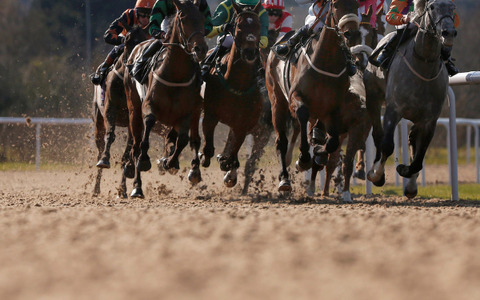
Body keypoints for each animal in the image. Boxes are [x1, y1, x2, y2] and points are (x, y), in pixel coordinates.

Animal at [92, 25, 148, 198]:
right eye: (128, 40)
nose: (133, 65)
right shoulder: (110, 108)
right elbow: (110, 135)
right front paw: (105, 160)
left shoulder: (133, 117)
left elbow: (128, 152)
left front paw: (124, 186)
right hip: (98, 120)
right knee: (99, 147)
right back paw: (96, 188)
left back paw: (122, 188)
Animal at [126, 0, 209, 199]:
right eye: (183, 18)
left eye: (202, 18)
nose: (200, 49)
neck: (175, 75)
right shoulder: (149, 107)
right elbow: (146, 135)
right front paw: (145, 160)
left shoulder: (186, 113)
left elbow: (183, 140)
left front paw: (169, 163)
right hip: (133, 109)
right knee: (135, 146)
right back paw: (137, 187)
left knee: (186, 139)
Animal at [201, 0, 264, 188]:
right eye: (239, 26)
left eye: (258, 26)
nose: (250, 52)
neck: (238, 83)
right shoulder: (210, 115)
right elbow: (207, 149)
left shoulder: (243, 123)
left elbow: (233, 152)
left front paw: (228, 168)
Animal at [266, 0, 360, 192]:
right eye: (336, 5)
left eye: (356, 4)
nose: (351, 34)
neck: (326, 61)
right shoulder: (295, 98)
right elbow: (302, 115)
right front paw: (303, 159)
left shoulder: (333, 108)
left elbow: (331, 143)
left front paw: (318, 153)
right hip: (277, 101)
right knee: (282, 140)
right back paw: (284, 179)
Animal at [364, 0, 458, 198]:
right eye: (432, 7)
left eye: (452, 7)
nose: (448, 33)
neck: (424, 64)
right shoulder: (393, 110)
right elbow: (387, 145)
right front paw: (377, 175)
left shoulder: (429, 119)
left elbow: (419, 156)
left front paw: (406, 173)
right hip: (373, 99)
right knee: (378, 134)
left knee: (413, 139)